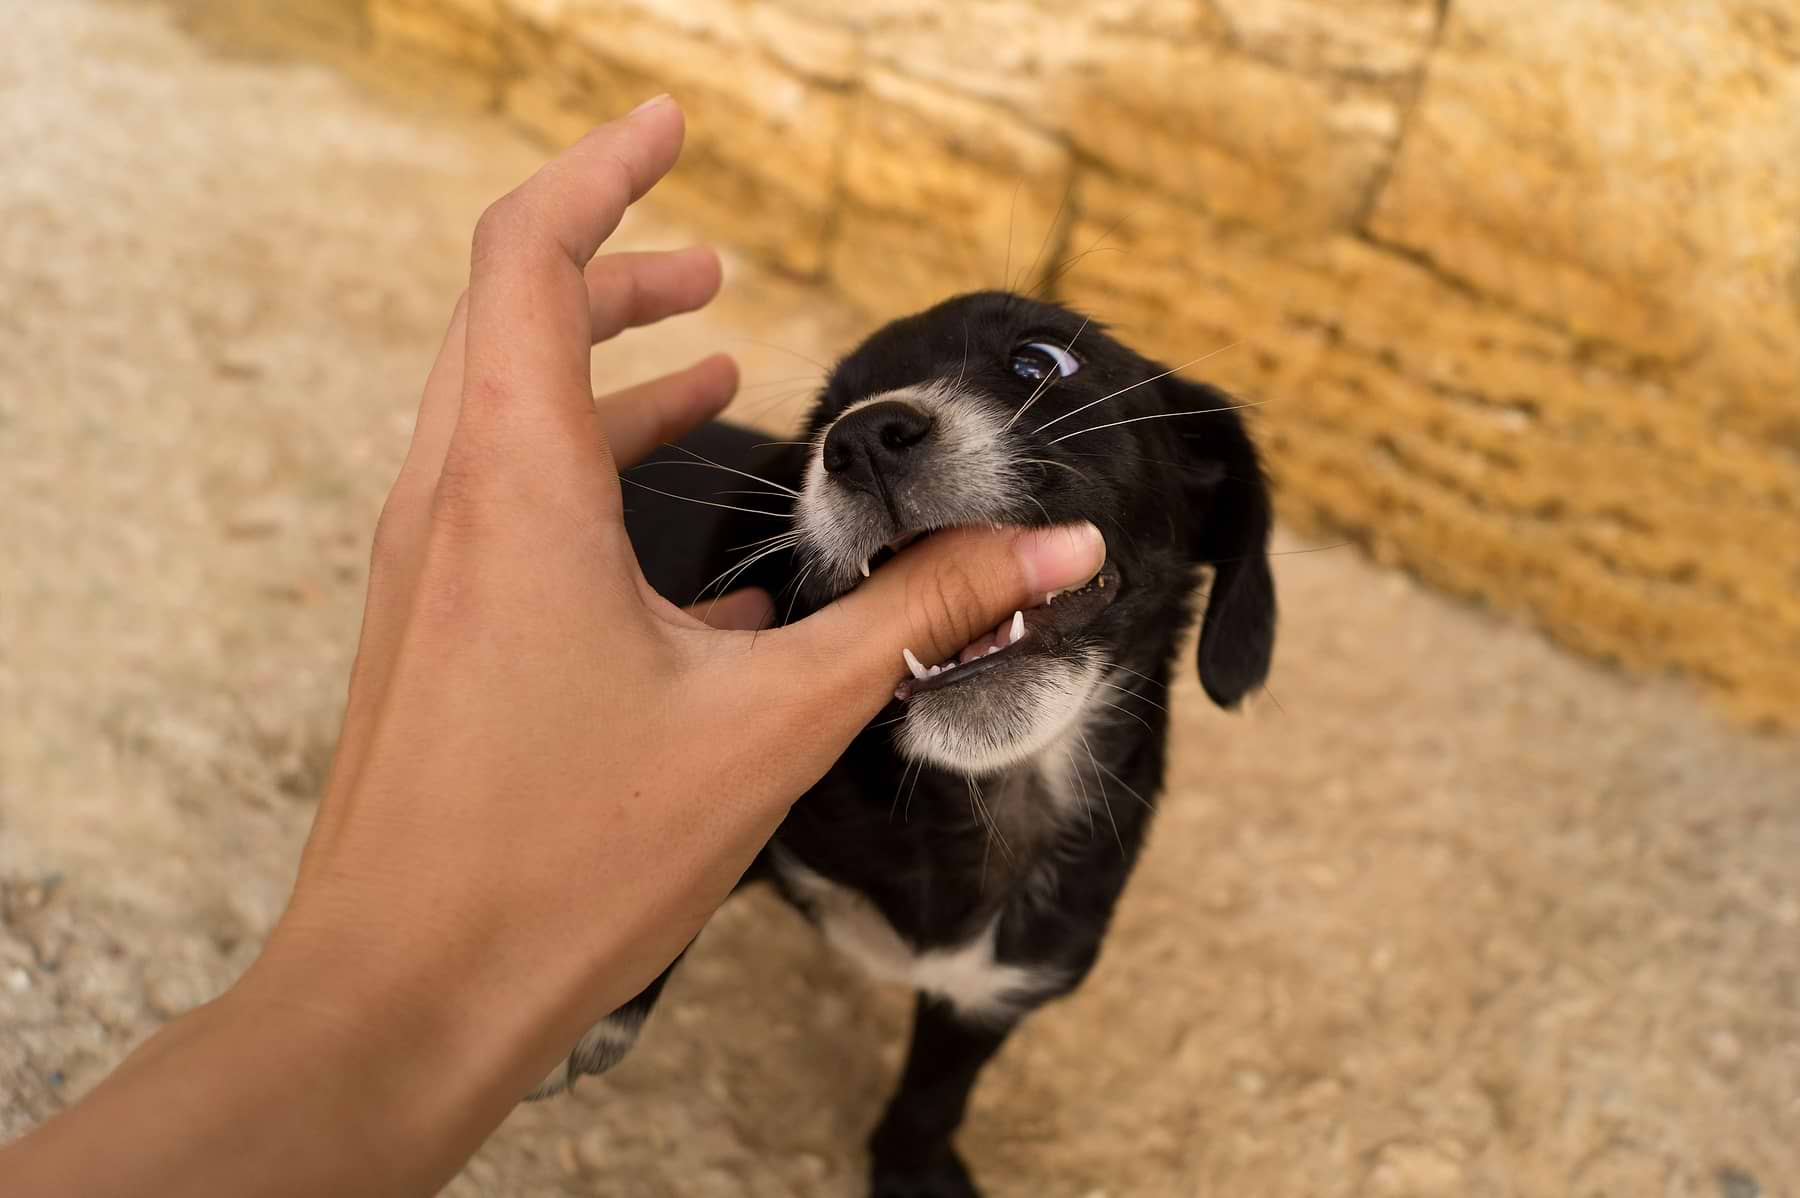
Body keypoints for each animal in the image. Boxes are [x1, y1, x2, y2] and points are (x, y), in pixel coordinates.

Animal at [536, 291, 1281, 1194]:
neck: (982, 801)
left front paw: (913, 1172)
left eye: (1040, 362)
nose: (859, 438)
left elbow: (934, 1097)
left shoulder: (998, 987)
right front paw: (603, 998)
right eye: (820, 420)